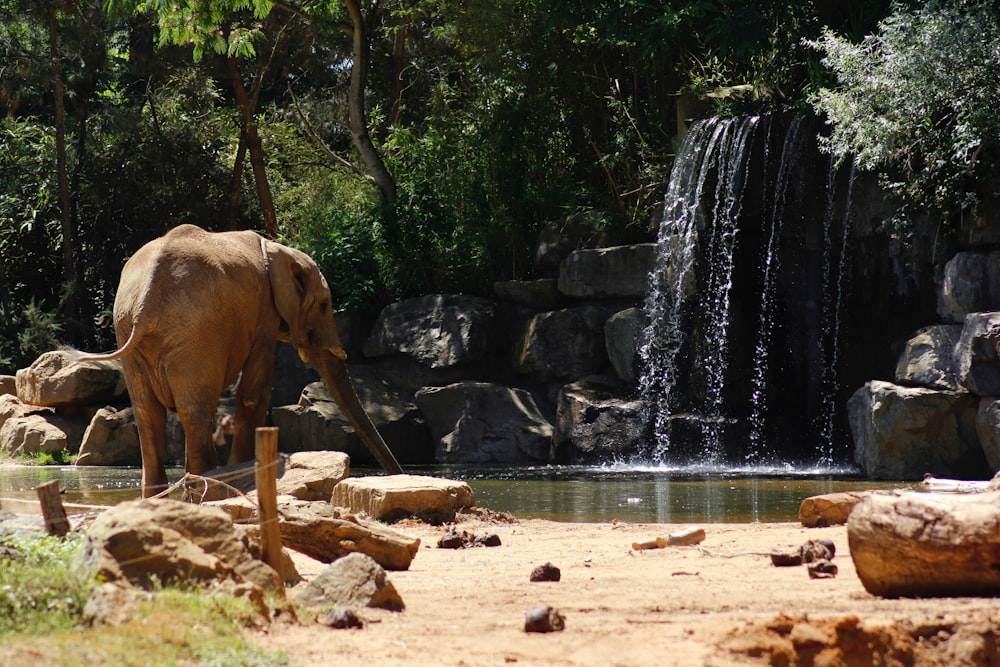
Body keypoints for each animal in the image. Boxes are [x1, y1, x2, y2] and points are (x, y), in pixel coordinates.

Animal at [83, 224, 402, 496]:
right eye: (324, 305)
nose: (395, 474)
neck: (279, 250)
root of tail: (144, 304)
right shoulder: (264, 315)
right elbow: (254, 392)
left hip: (131, 333)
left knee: (149, 414)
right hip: (196, 333)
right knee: (194, 409)